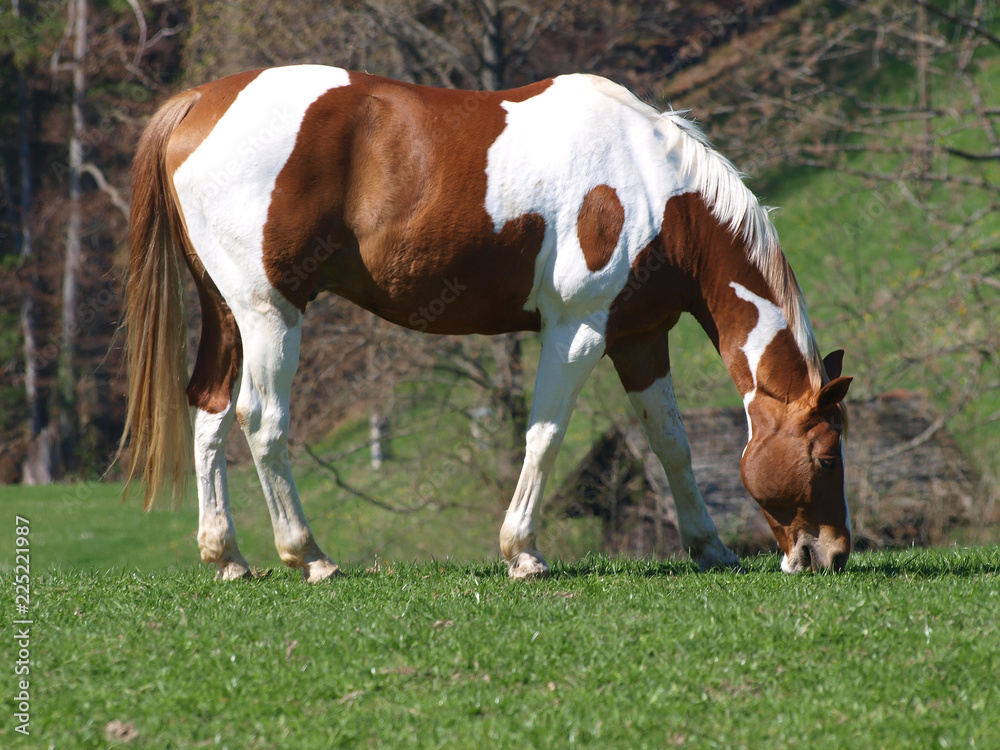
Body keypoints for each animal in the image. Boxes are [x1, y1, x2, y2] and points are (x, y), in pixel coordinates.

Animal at [119, 64, 852, 580]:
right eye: (825, 454)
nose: (832, 554)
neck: (655, 189)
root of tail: (200, 103)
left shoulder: (639, 338)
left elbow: (671, 443)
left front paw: (709, 547)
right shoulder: (578, 330)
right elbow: (545, 436)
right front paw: (522, 552)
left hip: (229, 314)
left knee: (211, 413)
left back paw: (228, 556)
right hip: (271, 314)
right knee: (262, 421)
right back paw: (309, 555)